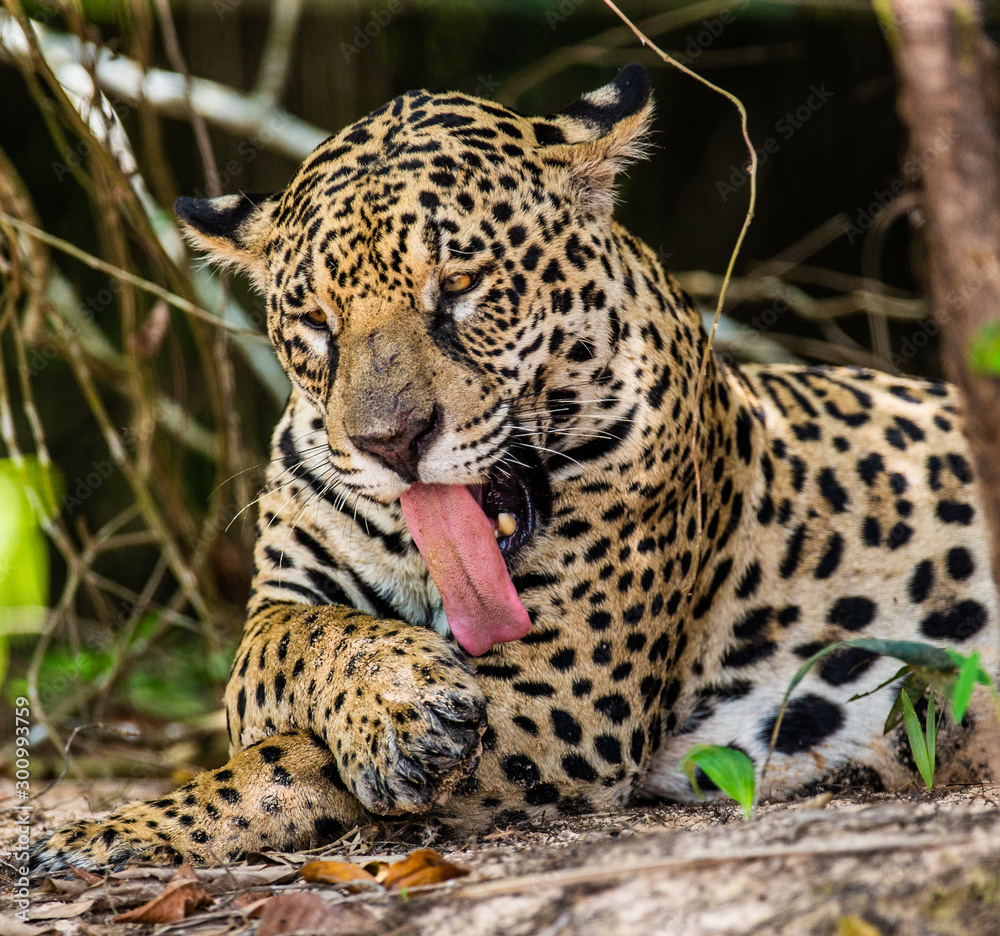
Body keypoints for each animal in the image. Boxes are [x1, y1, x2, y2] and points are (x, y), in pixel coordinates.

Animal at [34, 64, 1000, 871]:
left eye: (460, 286)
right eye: (314, 322)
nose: (391, 442)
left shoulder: (560, 701)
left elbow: (287, 762)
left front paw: (114, 830)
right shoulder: (284, 599)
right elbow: (284, 651)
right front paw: (397, 698)